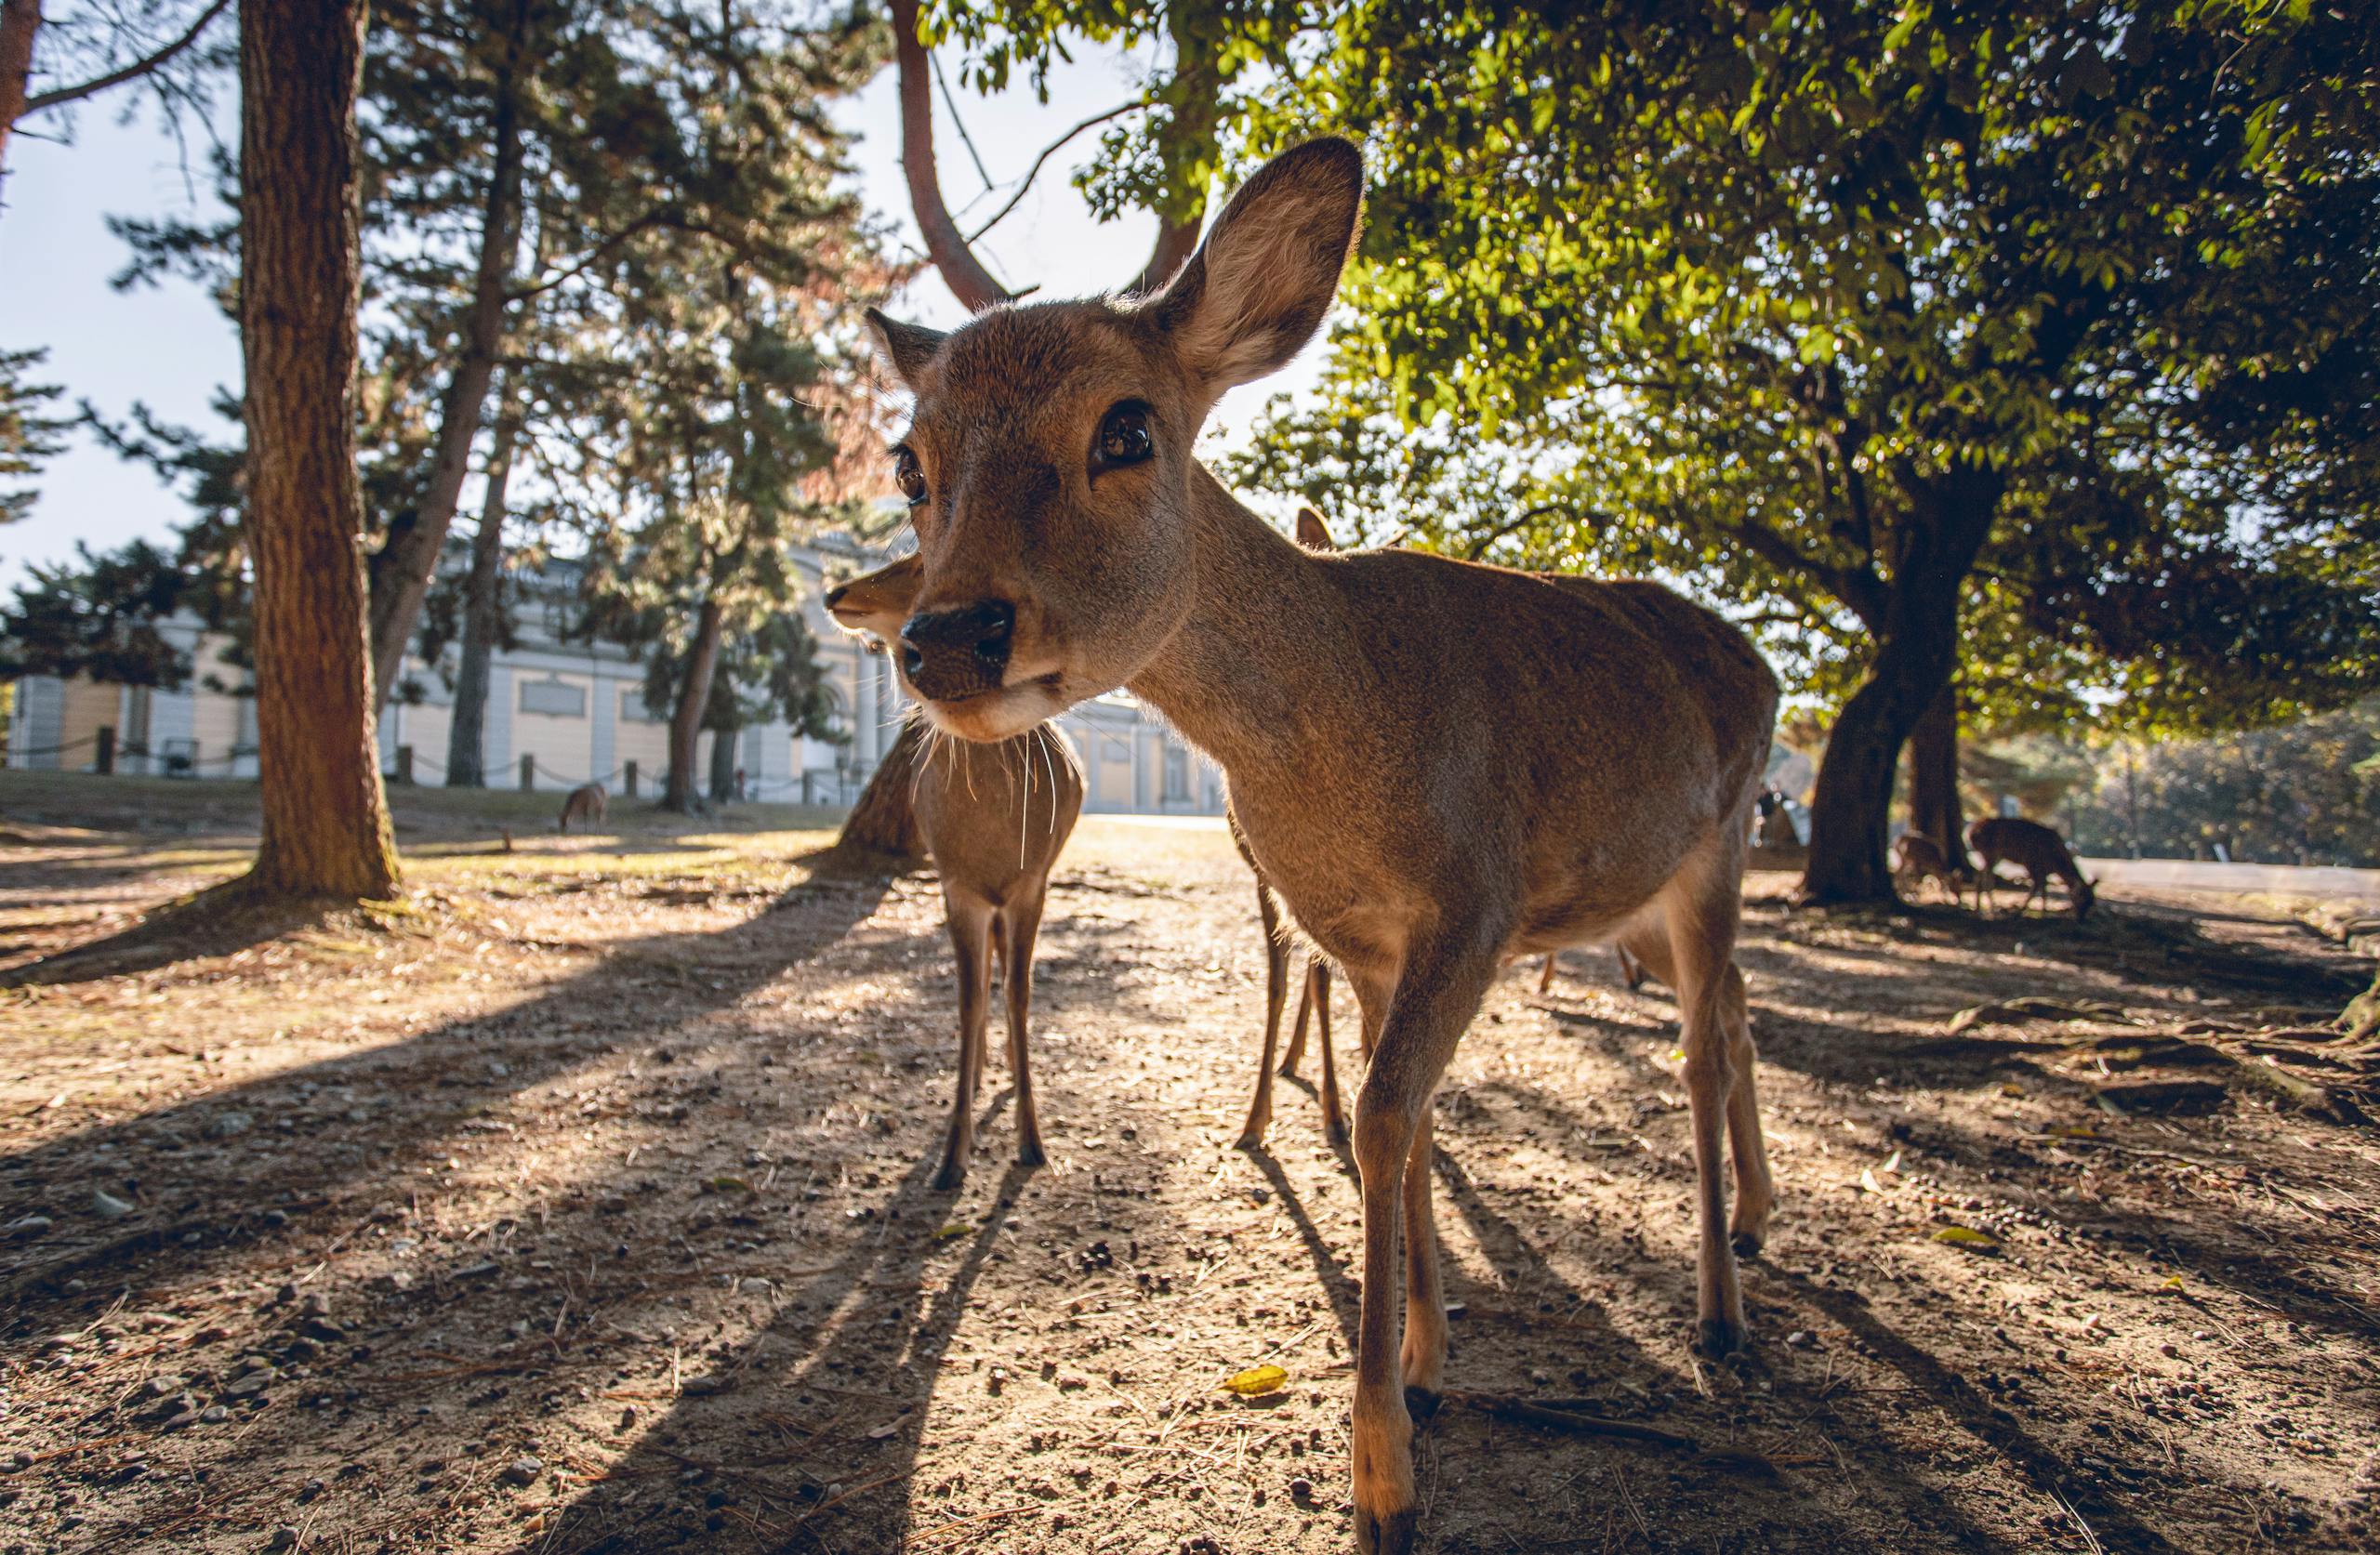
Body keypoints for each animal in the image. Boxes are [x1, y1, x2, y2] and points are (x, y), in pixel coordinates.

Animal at [826, 554, 1085, 1189]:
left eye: (921, 561)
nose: (834, 591)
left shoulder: (1031, 885)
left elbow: (1020, 992)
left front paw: (1032, 1141)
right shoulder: (956, 886)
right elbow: (967, 1000)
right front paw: (950, 1155)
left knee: (1006, 971)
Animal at [862, 137, 1779, 1555]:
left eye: (1127, 427)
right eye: (911, 462)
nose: (949, 639)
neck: (1338, 752)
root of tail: (1766, 665)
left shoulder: (1477, 899)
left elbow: (1386, 1114)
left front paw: (1384, 1472)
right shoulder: (1353, 930)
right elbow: (1397, 1113)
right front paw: (1429, 1361)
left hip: (1720, 842)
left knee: (1700, 1041)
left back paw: (1721, 1313)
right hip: (1653, 893)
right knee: (1734, 1010)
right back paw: (1754, 1223)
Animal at [1967, 815, 2096, 921]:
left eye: (2091, 902)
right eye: (2081, 898)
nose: (2081, 919)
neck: (2055, 862)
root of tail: (1971, 832)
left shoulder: (2045, 871)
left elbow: (2044, 890)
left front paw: (2044, 914)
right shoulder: (2031, 863)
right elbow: (2035, 888)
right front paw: (2018, 914)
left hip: (1991, 856)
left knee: (1979, 876)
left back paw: (1978, 911)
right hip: (1990, 852)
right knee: (1987, 881)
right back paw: (1993, 913)